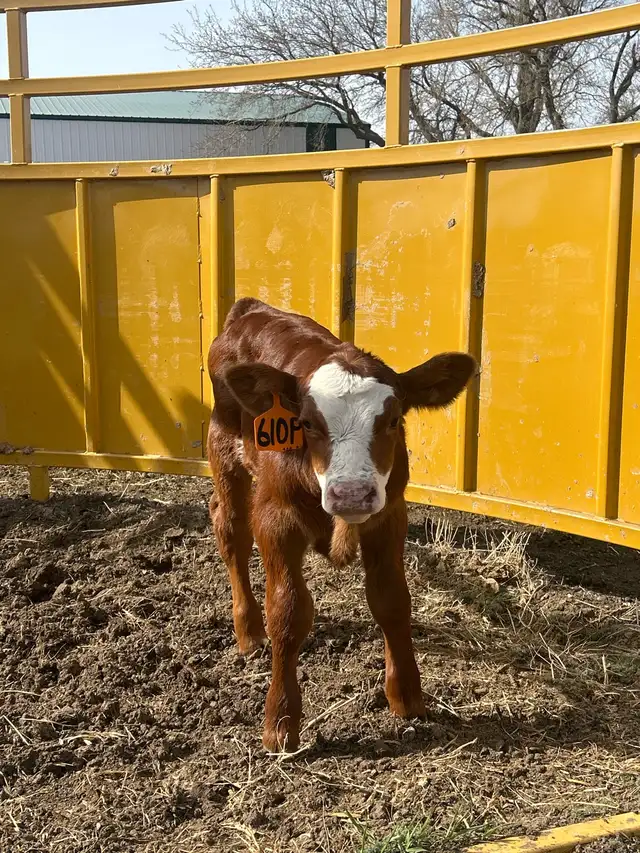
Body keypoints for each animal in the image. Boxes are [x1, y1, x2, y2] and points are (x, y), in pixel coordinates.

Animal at [207, 297, 476, 752]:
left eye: (393, 421)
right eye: (307, 423)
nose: (351, 493)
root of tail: (251, 308)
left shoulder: (389, 515)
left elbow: (392, 601)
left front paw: (406, 697)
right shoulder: (276, 519)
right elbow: (287, 612)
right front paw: (280, 722)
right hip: (224, 448)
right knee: (231, 530)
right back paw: (248, 632)